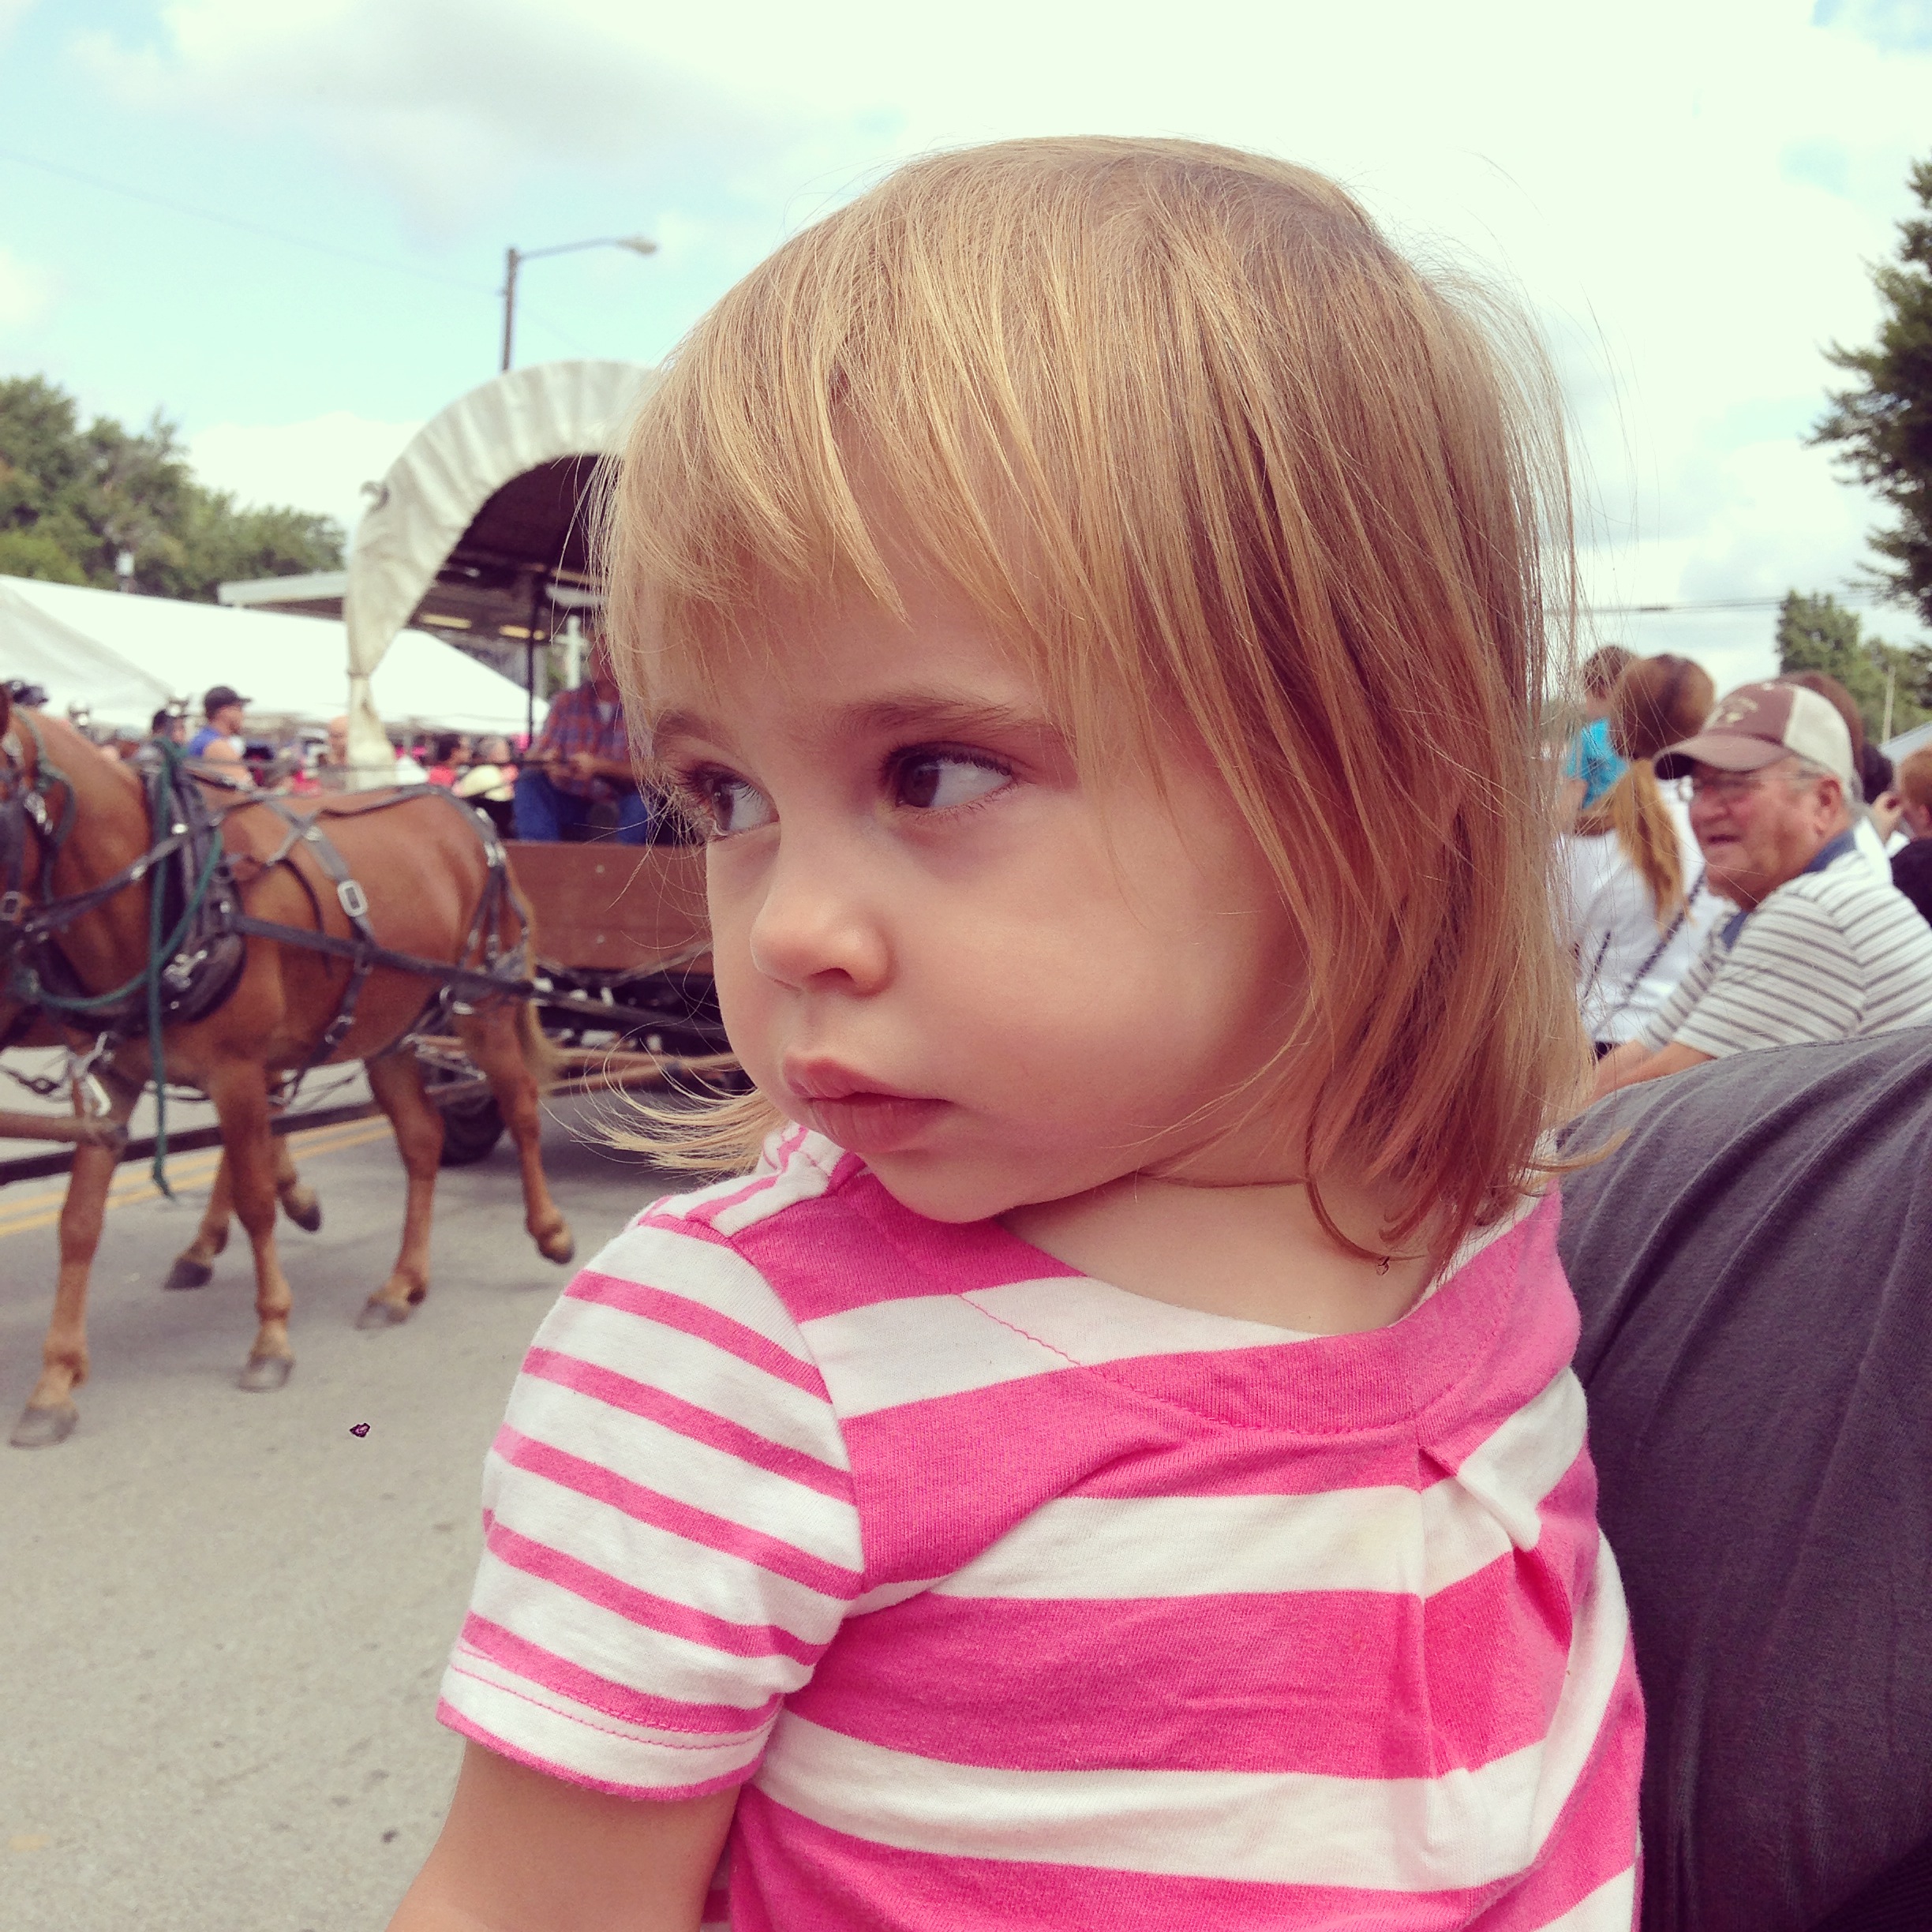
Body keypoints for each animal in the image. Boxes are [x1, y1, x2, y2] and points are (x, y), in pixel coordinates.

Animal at [0, 693, 574, 1449]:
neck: (168, 894)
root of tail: (471, 819)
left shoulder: (238, 1071)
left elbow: (255, 1202)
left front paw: (270, 1338)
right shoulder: (106, 1083)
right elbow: (78, 1223)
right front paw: (56, 1381)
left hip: (482, 1007)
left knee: (521, 1105)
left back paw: (551, 1231)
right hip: (390, 1032)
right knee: (422, 1140)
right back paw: (401, 1284)